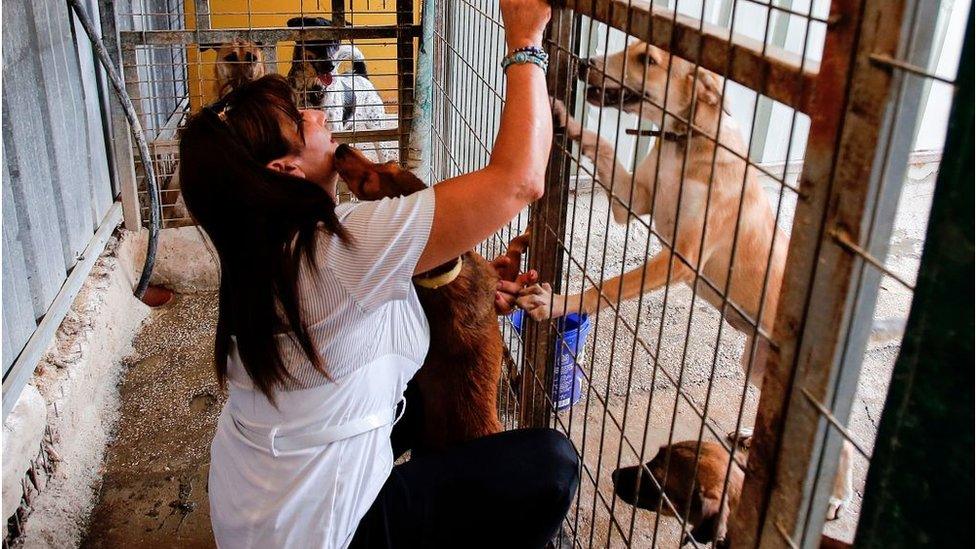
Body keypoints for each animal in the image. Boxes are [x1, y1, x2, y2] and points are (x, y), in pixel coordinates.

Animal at [336, 142, 532, 450]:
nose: (341, 148)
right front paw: (527, 233)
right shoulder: (497, 292)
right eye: (367, 183)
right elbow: (512, 251)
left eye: (390, 164)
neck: (438, 279)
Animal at [520, 41, 856, 520]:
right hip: (757, 365)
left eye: (649, 60)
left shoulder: (682, 258)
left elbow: (612, 286)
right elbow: (604, 145)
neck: (686, 142)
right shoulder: (634, 200)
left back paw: (837, 497)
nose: (584, 65)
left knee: (840, 448)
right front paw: (567, 120)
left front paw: (559, 303)